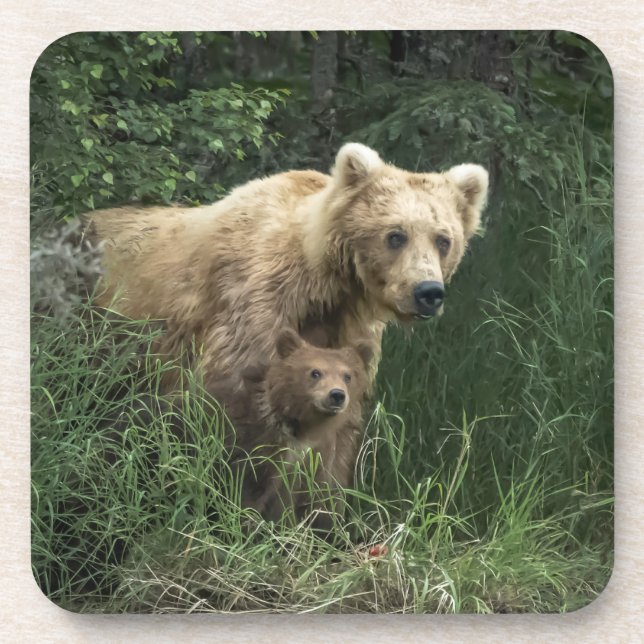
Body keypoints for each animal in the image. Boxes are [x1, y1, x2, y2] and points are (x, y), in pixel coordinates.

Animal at [87, 142, 489, 389]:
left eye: (443, 239)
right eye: (396, 235)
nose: (428, 292)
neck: (326, 284)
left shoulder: (345, 328)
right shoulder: (254, 309)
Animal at [206, 328, 375, 531]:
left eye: (347, 376)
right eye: (315, 372)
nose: (337, 395)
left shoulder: (302, 464)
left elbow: (286, 502)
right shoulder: (252, 446)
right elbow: (246, 491)